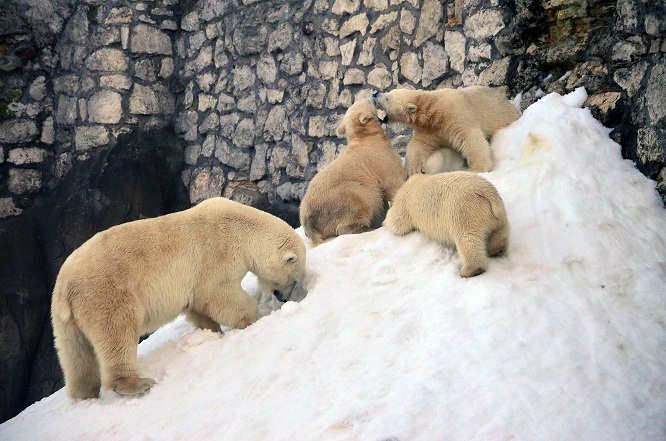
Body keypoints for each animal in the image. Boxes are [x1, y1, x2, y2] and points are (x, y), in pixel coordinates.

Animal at [52, 198, 306, 398]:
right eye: (295, 277)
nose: (284, 298)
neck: (240, 228)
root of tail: (65, 289)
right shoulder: (217, 254)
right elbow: (219, 295)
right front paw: (251, 318)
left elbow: (197, 306)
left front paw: (211, 332)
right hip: (107, 293)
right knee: (117, 332)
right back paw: (136, 384)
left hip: (67, 319)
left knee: (75, 353)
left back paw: (84, 392)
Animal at [298, 96, 402, 246]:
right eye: (367, 100)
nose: (374, 95)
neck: (365, 137)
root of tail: (307, 220)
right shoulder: (380, 160)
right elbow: (392, 182)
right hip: (341, 198)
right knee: (359, 201)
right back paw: (366, 228)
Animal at [374, 86, 520, 175]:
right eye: (388, 93)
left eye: (387, 97)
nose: (375, 93)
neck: (432, 109)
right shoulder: (430, 129)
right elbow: (419, 144)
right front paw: (413, 168)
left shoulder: (455, 113)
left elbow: (470, 137)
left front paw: (479, 169)